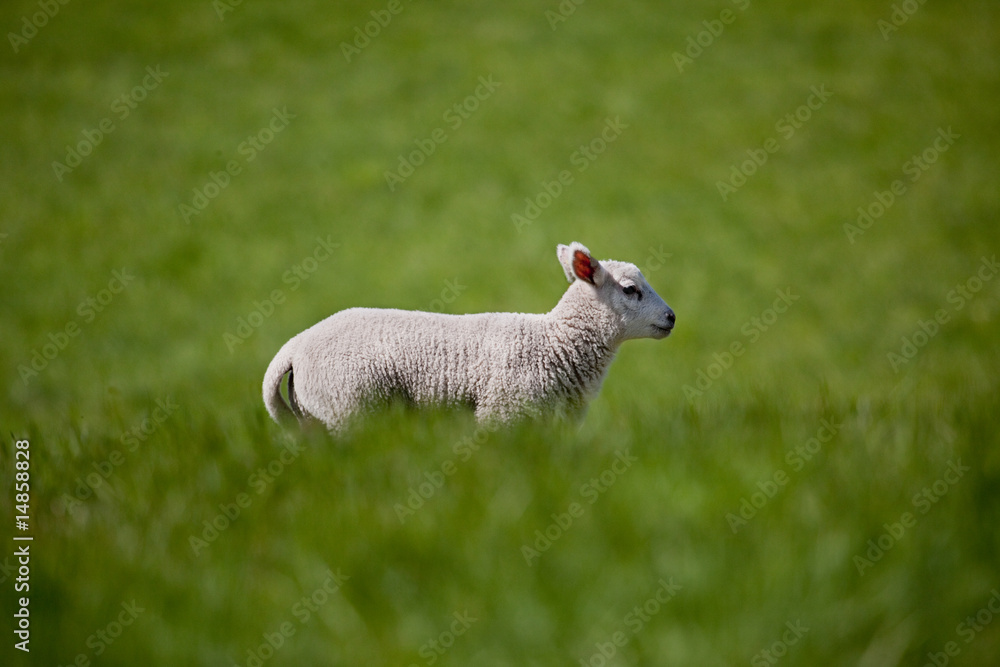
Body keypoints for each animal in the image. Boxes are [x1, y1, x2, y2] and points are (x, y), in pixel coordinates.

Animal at [263, 242, 675, 432]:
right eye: (630, 290)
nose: (671, 318)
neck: (554, 341)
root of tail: (295, 346)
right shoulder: (503, 412)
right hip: (350, 407)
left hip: (316, 417)